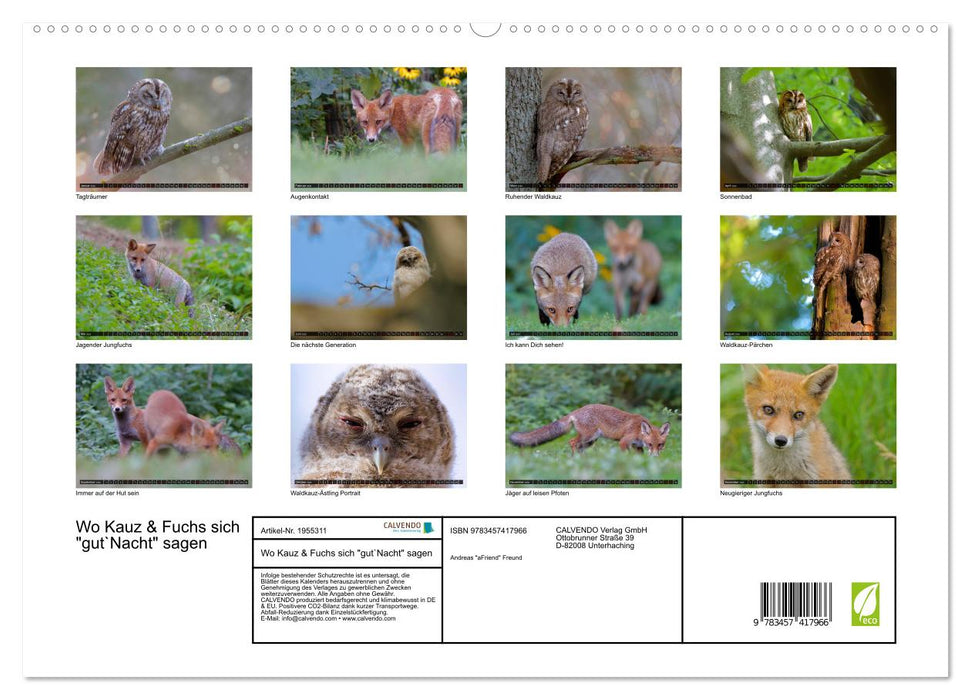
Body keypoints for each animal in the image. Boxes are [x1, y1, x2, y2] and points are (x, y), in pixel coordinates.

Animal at [510, 404, 671, 456]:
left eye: (660, 445)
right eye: (650, 444)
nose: (655, 457)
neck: (638, 431)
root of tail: (578, 410)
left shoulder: (637, 446)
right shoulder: (624, 441)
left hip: (591, 441)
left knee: (578, 446)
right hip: (588, 436)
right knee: (572, 442)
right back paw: (574, 459)